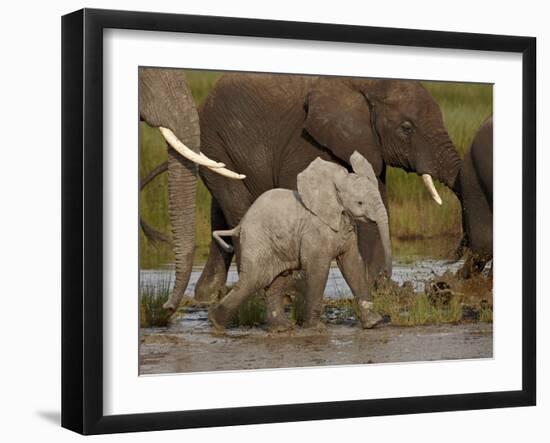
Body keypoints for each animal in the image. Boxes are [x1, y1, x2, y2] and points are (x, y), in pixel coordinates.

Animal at [192, 73, 464, 302]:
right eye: (406, 128)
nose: (452, 265)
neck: (367, 83)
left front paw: (375, 289)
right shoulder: (305, 141)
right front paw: (297, 290)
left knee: (220, 213)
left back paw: (207, 294)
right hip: (214, 141)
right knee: (238, 207)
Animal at [208, 151, 392, 332]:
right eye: (360, 203)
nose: (385, 277)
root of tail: (241, 224)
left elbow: (352, 265)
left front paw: (374, 323)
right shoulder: (314, 232)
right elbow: (318, 268)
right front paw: (316, 328)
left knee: (276, 283)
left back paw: (281, 328)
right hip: (257, 242)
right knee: (252, 281)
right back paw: (216, 323)